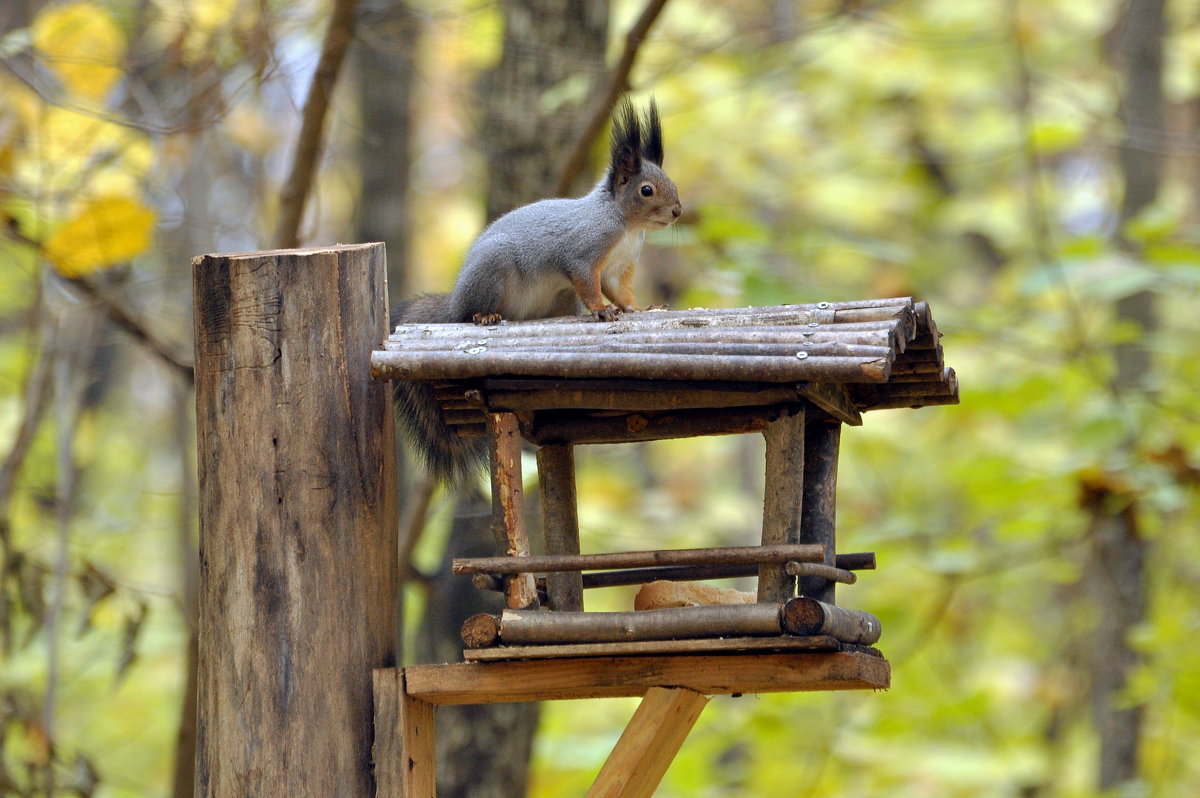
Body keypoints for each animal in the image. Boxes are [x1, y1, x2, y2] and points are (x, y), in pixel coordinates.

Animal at [388, 93, 681, 480]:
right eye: (647, 190)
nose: (678, 211)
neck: (626, 225)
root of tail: (454, 302)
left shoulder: (618, 269)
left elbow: (621, 292)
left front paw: (640, 308)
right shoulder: (583, 254)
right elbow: (588, 283)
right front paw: (602, 311)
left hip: (560, 297)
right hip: (492, 271)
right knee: (469, 312)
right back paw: (484, 316)